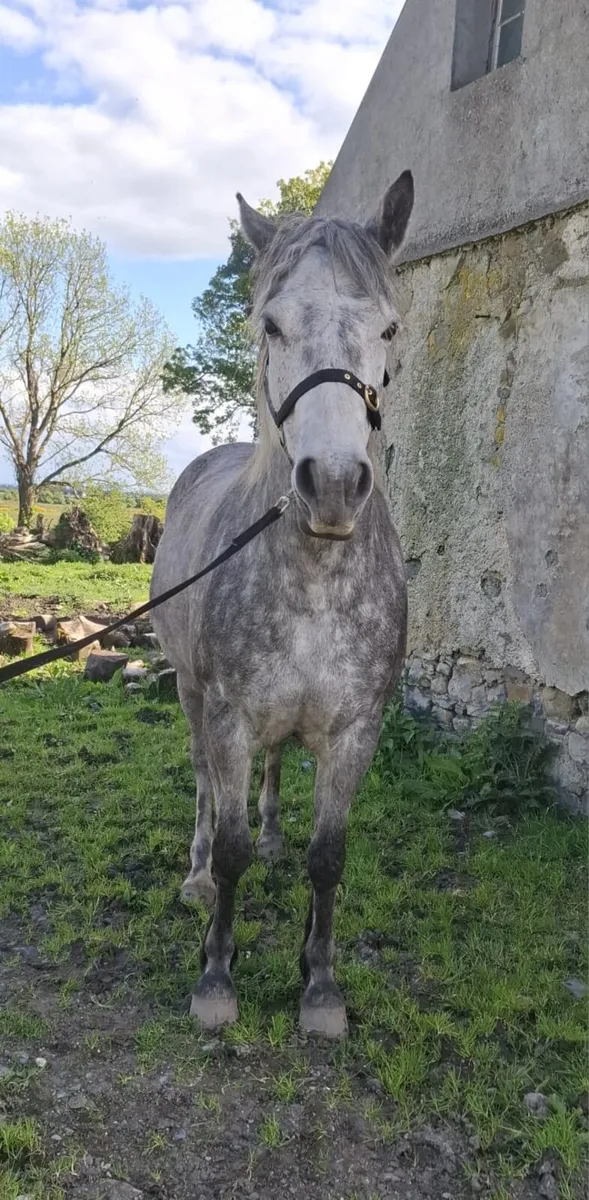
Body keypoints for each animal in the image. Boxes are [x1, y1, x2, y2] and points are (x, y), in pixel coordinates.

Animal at [151, 170, 414, 1038]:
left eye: (389, 328)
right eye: (270, 324)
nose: (331, 484)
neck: (314, 577)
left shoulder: (354, 731)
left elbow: (327, 858)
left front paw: (320, 987)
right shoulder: (229, 714)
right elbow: (230, 840)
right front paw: (216, 975)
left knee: (271, 771)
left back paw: (271, 835)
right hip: (192, 695)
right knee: (206, 782)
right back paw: (197, 874)